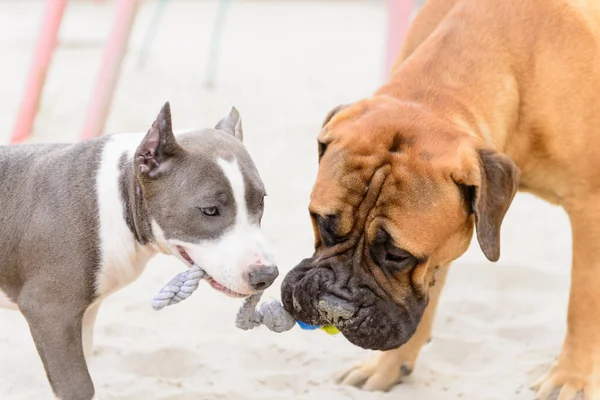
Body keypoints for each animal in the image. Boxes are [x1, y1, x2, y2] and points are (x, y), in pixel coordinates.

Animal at [0, 102, 278, 400]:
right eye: (210, 210)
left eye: (261, 202)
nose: (267, 275)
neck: (118, 195)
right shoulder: (50, 312)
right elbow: (80, 387)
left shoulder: (81, 315)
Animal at [280, 0, 600, 398]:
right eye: (323, 222)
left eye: (398, 255)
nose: (333, 308)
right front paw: (388, 366)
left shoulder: (590, 208)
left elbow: (582, 304)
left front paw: (571, 378)